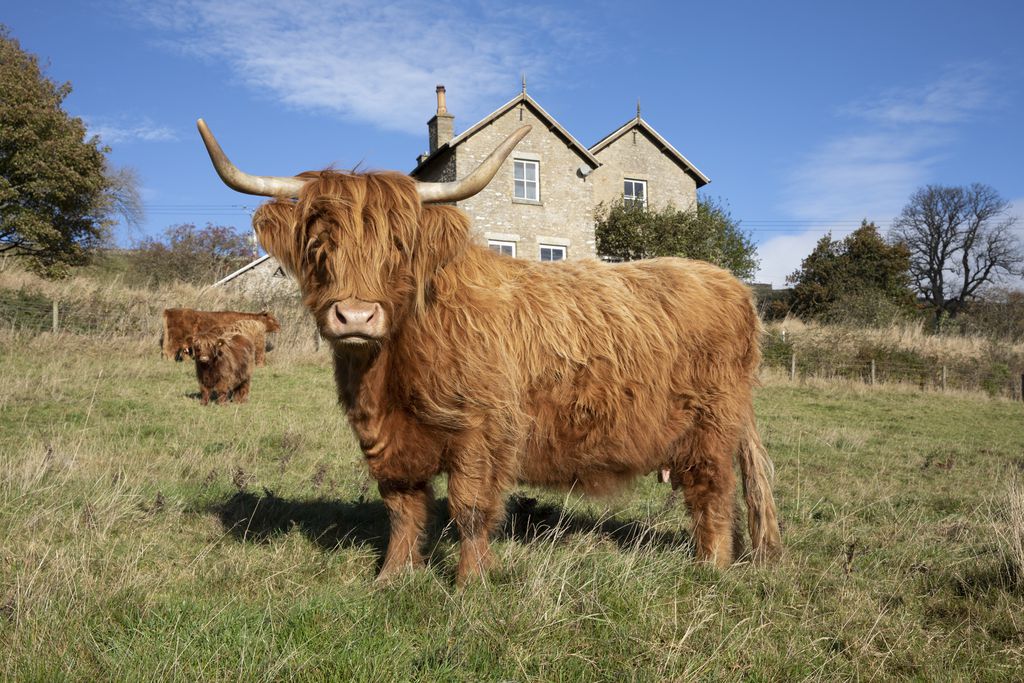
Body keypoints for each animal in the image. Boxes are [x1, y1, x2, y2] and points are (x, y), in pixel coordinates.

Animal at [195, 120, 778, 585]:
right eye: (319, 246)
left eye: (399, 248)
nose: (356, 317)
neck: (389, 374)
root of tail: (730, 284)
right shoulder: (385, 437)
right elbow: (403, 509)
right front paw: (391, 578)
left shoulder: (483, 429)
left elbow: (470, 508)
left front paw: (470, 586)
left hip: (711, 427)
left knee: (713, 493)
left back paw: (711, 569)